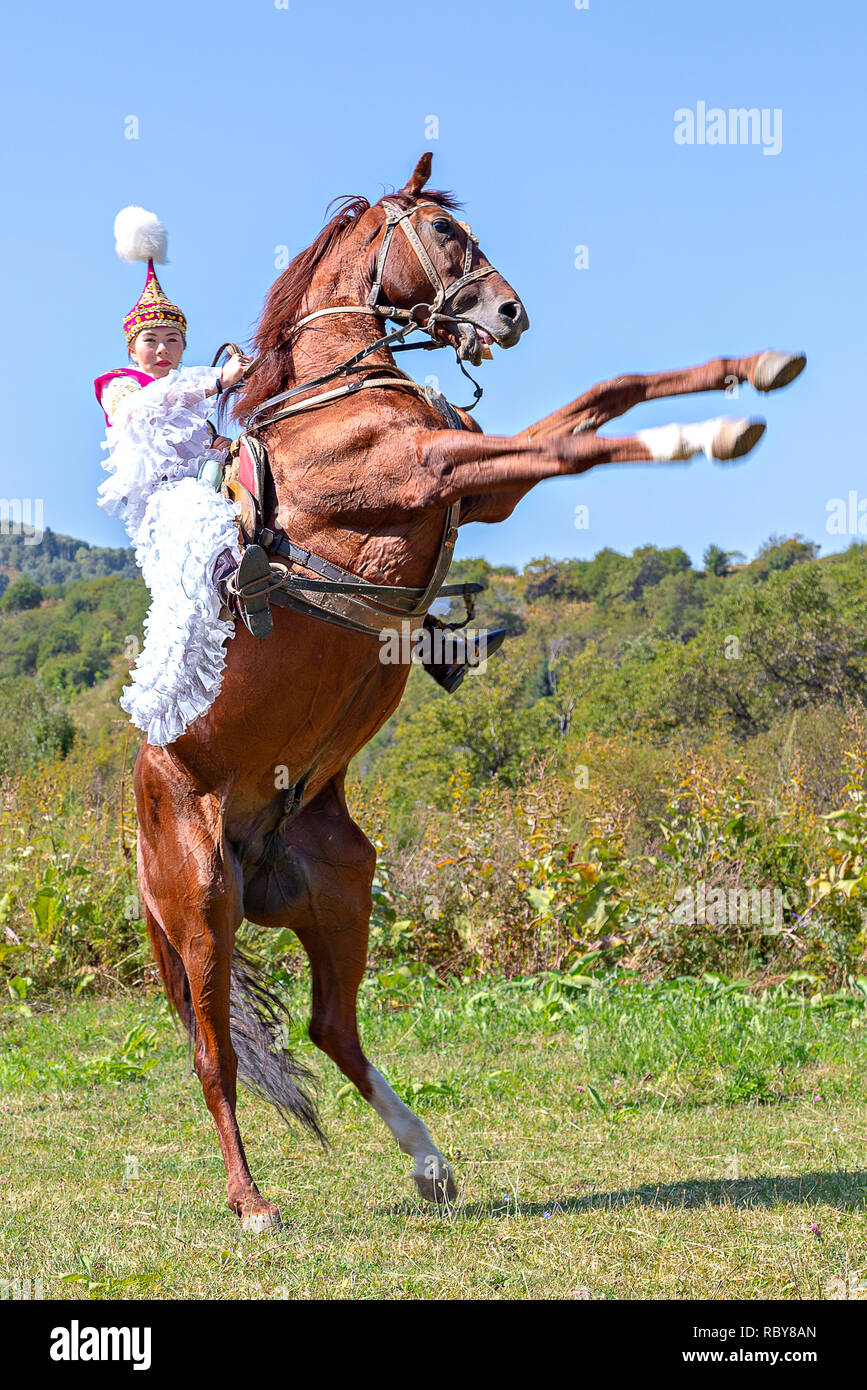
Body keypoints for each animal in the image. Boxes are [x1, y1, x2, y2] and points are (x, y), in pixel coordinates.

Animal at [134, 152, 805, 1230]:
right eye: (446, 236)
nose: (508, 310)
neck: (339, 393)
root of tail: (143, 804)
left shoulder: (480, 485)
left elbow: (606, 393)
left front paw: (756, 368)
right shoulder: (436, 468)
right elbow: (578, 445)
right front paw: (713, 432)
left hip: (339, 886)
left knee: (330, 1027)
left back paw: (428, 1161)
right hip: (201, 907)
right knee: (215, 1055)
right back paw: (253, 1203)